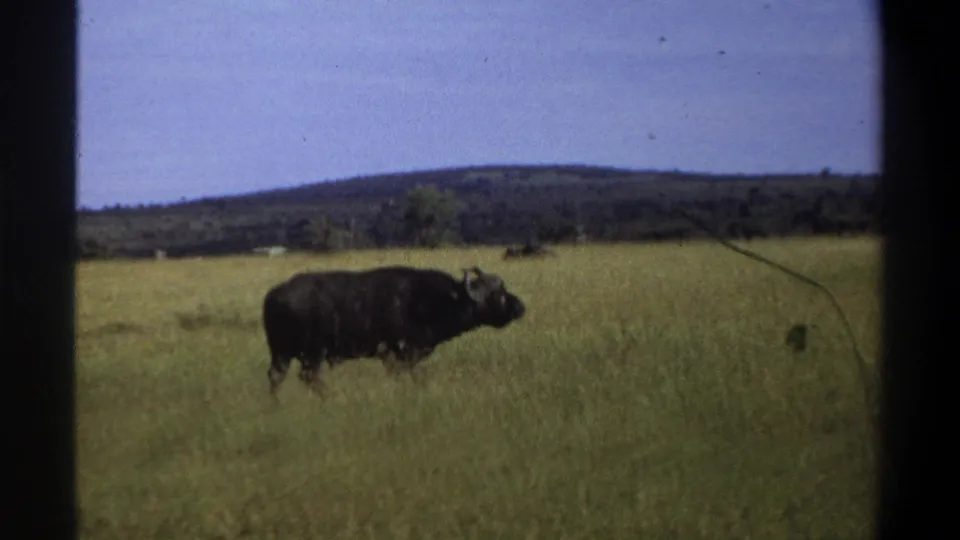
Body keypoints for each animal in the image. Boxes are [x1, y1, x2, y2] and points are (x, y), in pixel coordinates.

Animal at [261, 265, 526, 397]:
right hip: (313, 353)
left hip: (281, 353)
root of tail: (274, 295)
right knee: (309, 377)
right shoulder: (397, 355)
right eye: (497, 295)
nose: (520, 307)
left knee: (276, 377)